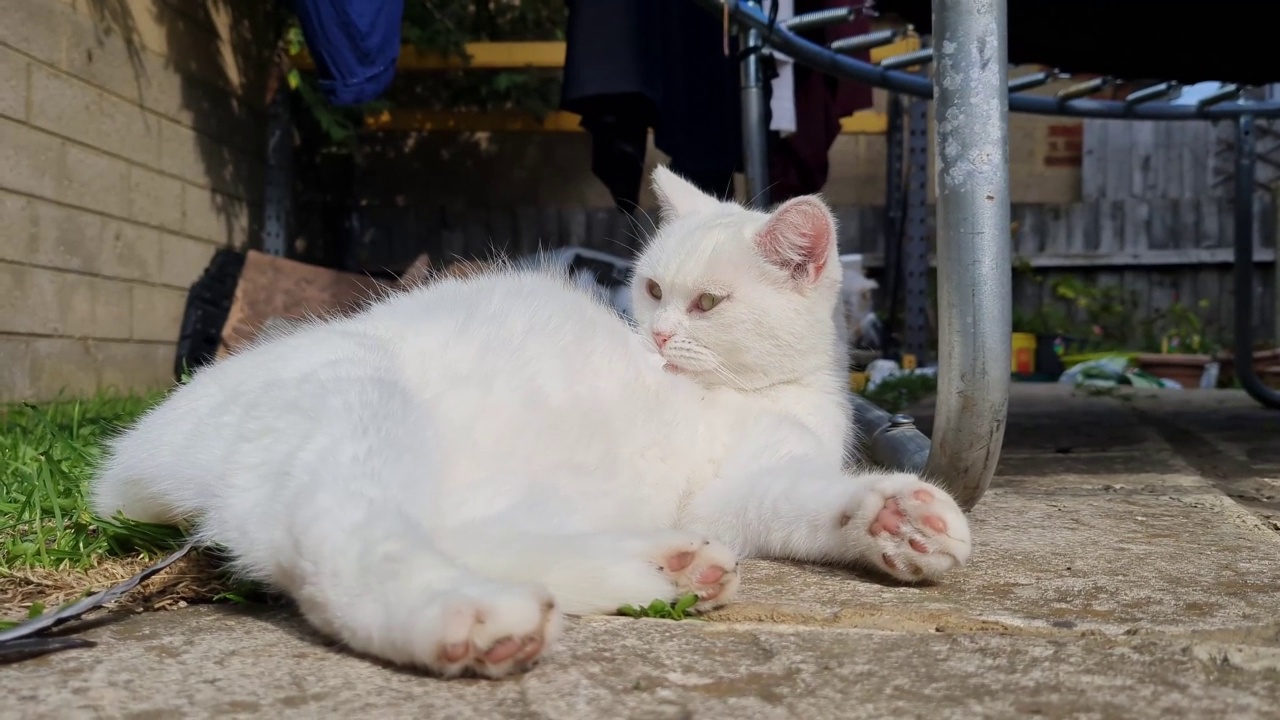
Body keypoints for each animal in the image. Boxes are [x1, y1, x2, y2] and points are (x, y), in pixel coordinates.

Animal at [92, 166, 967, 676]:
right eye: (654, 290)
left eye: (709, 304)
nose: (655, 336)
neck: (773, 388)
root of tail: (141, 451)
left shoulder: (738, 492)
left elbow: (807, 503)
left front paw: (894, 520)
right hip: (356, 405)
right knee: (338, 536)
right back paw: (463, 616)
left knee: (465, 531)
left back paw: (664, 571)